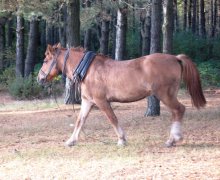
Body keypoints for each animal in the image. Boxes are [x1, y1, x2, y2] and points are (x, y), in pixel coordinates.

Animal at [37, 43, 207, 148]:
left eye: (45, 60)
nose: (39, 78)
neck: (89, 69)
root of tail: (175, 58)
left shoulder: (101, 101)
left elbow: (112, 118)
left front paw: (121, 140)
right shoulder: (87, 102)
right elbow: (80, 121)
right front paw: (71, 141)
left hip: (165, 95)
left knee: (179, 110)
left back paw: (172, 139)